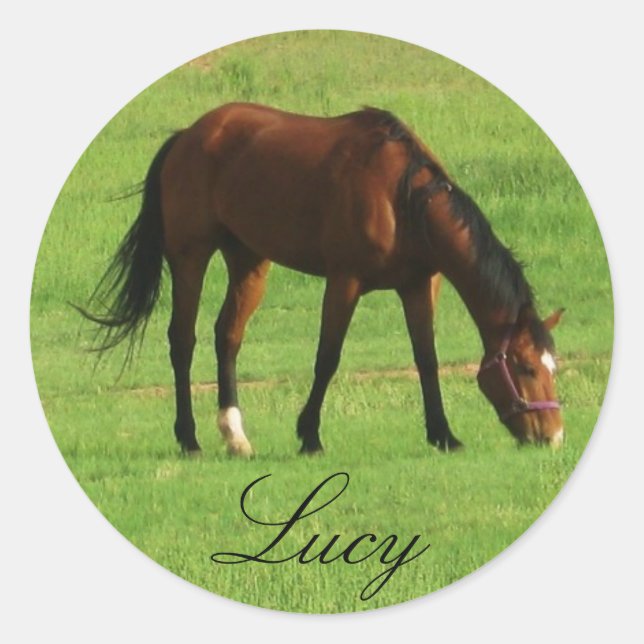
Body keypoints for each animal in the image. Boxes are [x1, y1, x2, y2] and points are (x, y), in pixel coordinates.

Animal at [77, 103, 564, 456]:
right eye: (524, 367)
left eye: (551, 366)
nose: (554, 435)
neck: (402, 197)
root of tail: (189, 134)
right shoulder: (344, 281)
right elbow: (327, 357)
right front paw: (309, 435)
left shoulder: (418, 285)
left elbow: (426, 359)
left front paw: (443, 435)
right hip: (190, 256)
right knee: (182, 340)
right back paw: (189, 438)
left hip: (249, 260)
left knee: (227, 336)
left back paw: (235, 436)